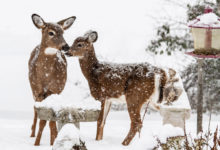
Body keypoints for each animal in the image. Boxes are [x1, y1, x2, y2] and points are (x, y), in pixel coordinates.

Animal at [28, 13, 76, 145]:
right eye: (51, 32)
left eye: (63, 32)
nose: (66, 46)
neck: (45, 76)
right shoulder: (38, 92)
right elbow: (42, 119)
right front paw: (36, 144)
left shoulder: (55, 90)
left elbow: (50, 121)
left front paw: (52, 141)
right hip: (34, 92)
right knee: (35, 110)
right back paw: (32, 133)